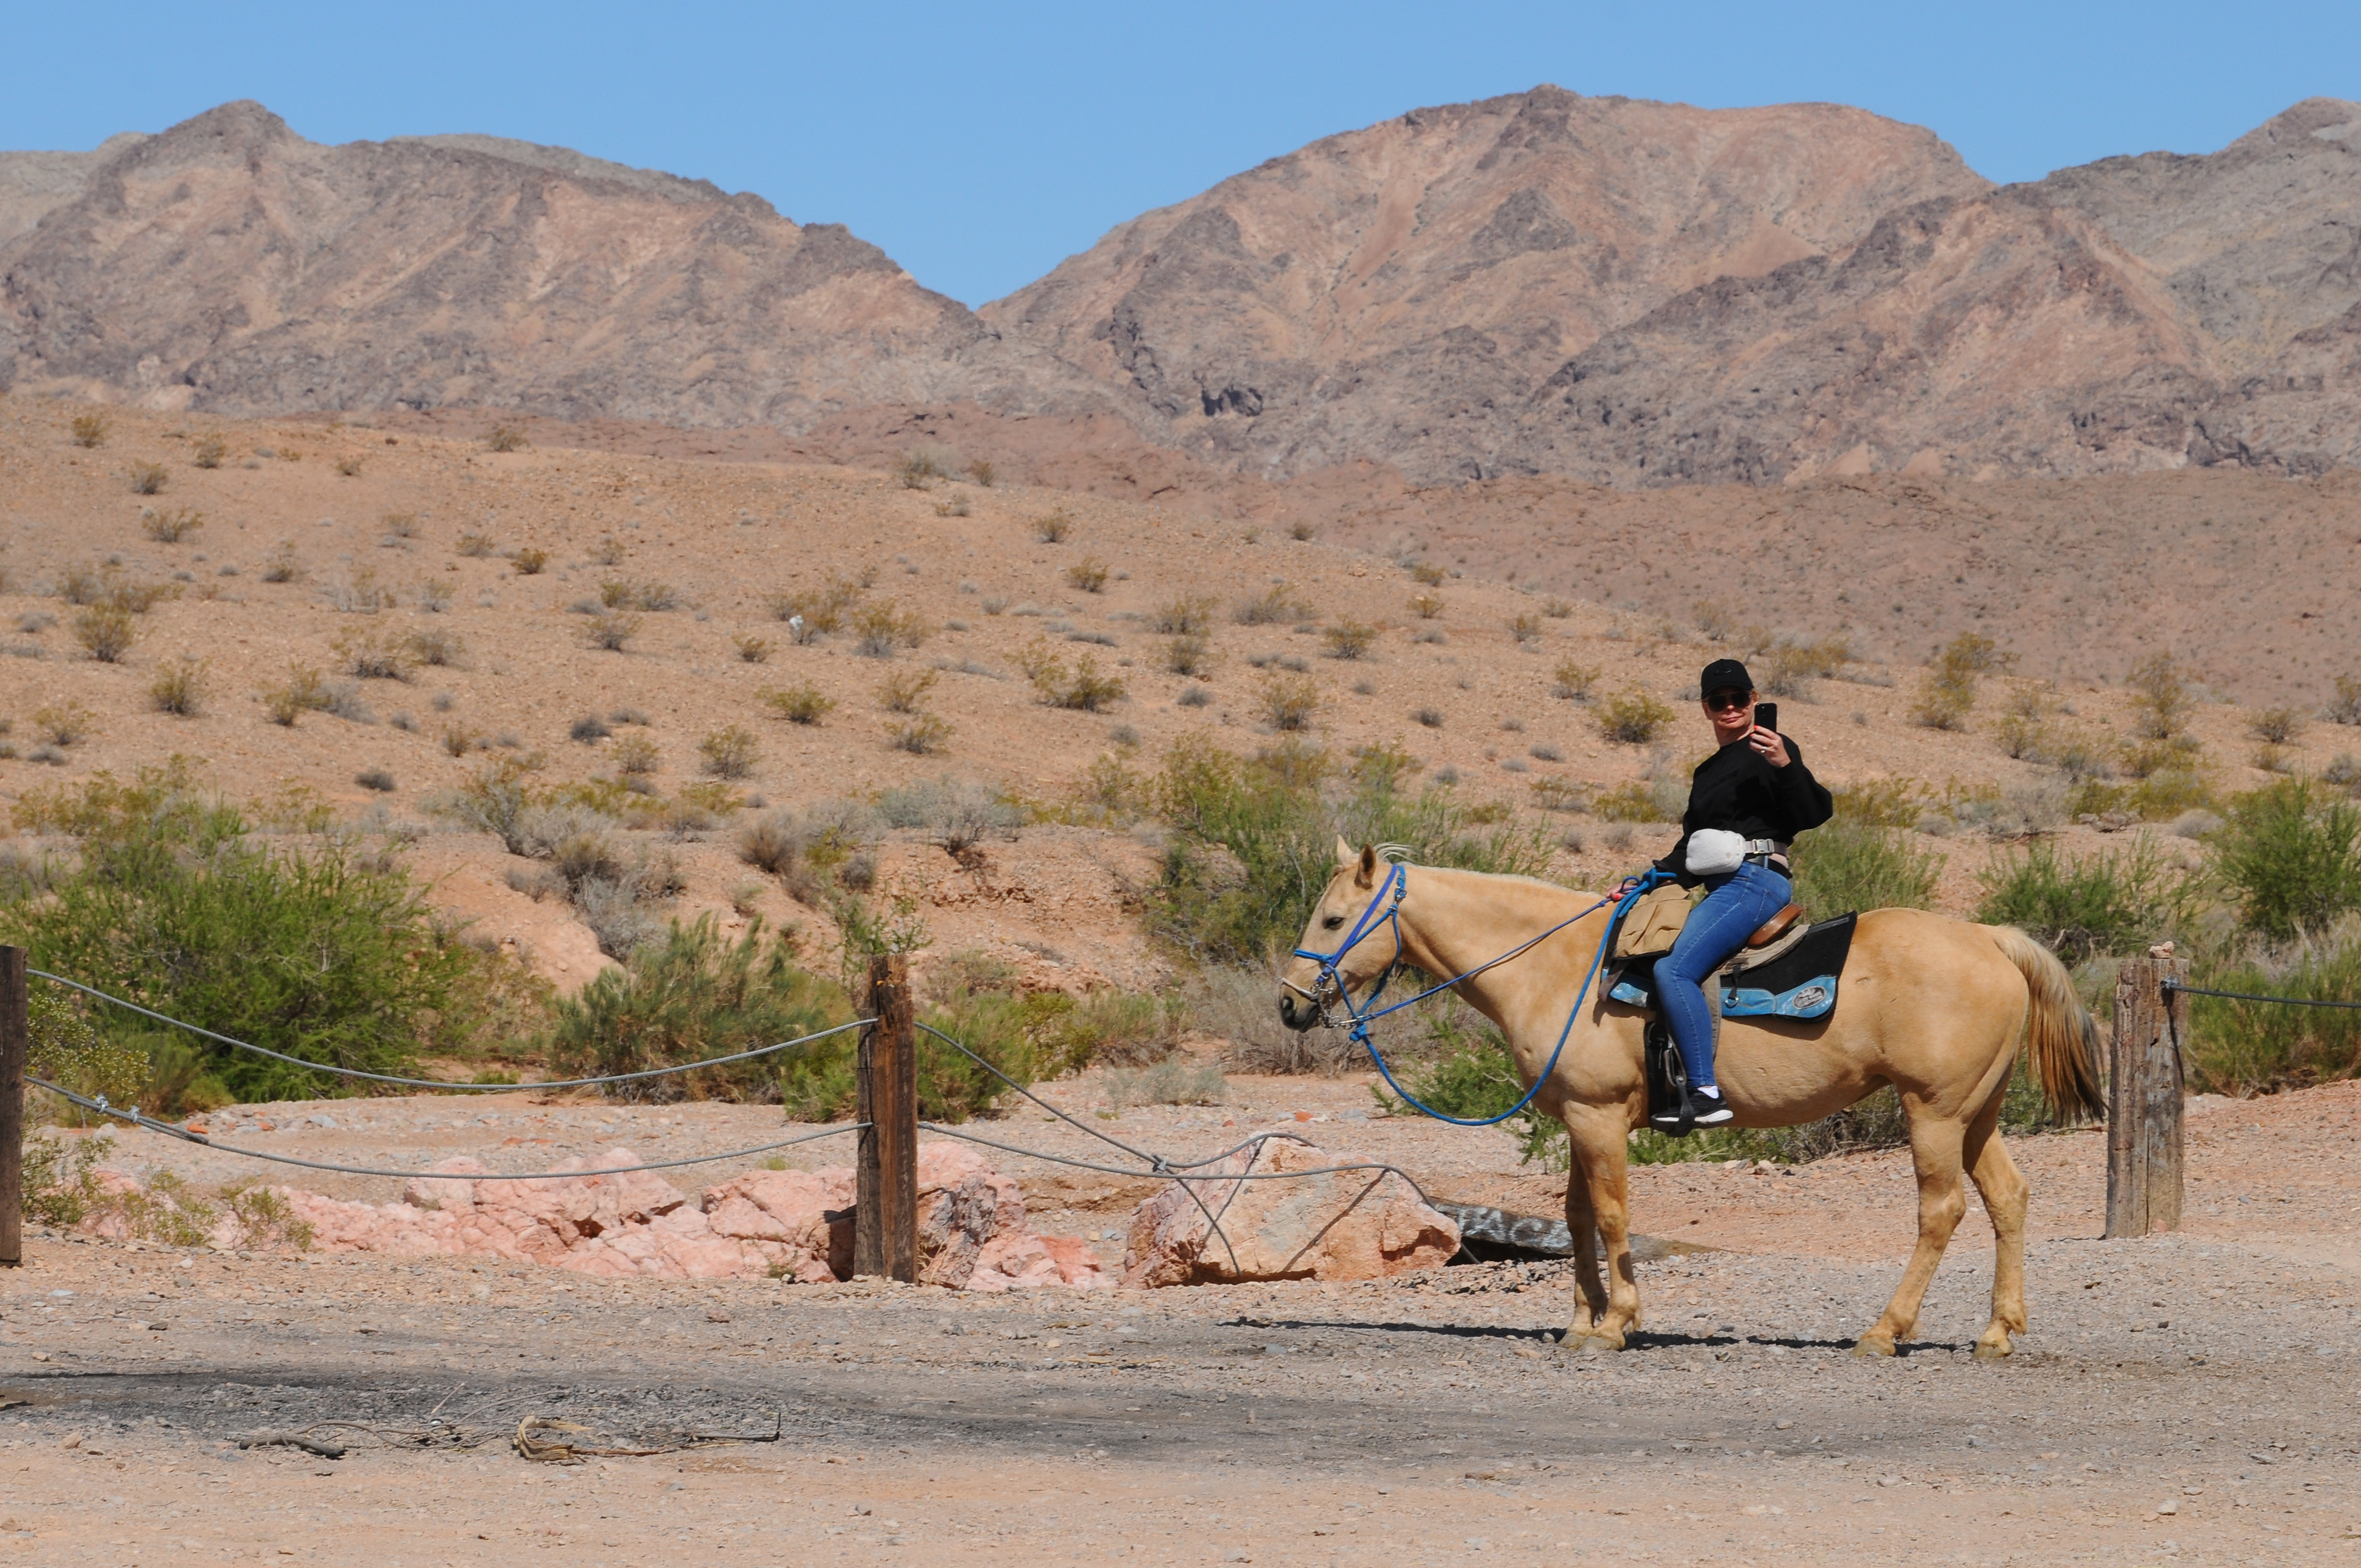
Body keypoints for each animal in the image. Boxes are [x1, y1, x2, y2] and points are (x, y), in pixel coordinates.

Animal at [1278, 841, 2105, 1359]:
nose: (1290, 1005)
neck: (1557, 965)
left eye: (1332, 919)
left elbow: (1612, 1216)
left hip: (1931, 1112)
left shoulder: (1600, 1116)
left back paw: (1883, 1331)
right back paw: (1997, 1332)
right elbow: (1577, 1218)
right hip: (1976, 1113)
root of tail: (1992, 940)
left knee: (1942, 1211)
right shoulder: (1580, 1118)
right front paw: (1580, 1321)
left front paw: (1616, 1323)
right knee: (2008, 1198)